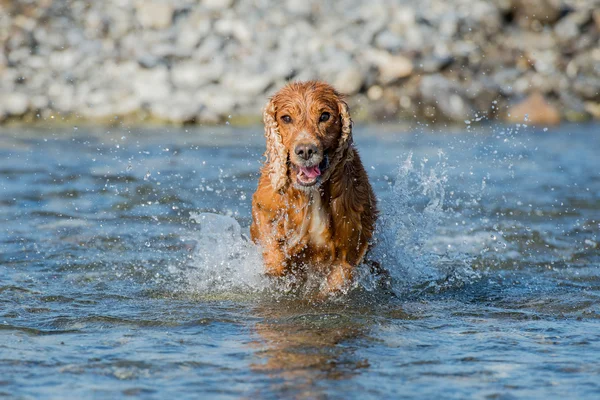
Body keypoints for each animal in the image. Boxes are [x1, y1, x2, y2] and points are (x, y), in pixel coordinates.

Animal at [251, 79, 378, 296]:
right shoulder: (264, 205)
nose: (305, 150)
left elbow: (337, 279)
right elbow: (274, 255)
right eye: (286, 118)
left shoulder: (351, 243)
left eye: (325, 116)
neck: (310, 193)